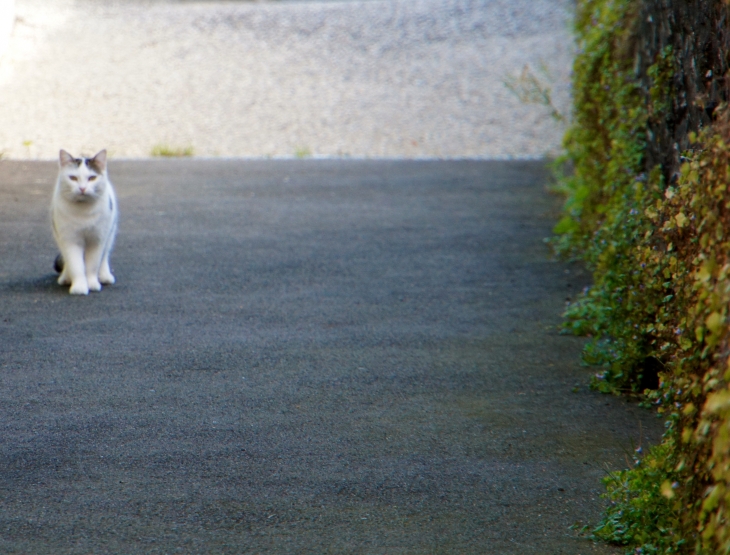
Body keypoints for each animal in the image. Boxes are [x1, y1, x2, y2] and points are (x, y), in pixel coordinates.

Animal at [51, 148, 117, 296]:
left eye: (92, 178)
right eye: (73, 178)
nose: (82, 188)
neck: (83, 212)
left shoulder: (97, 240)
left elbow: (92, 265)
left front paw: (92, 283)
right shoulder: (70, 240)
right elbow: (76, 265)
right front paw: (80, 287)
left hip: (109, 233)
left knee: (104, 256)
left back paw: (104, 276)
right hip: (59, 237)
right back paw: (66, 277)